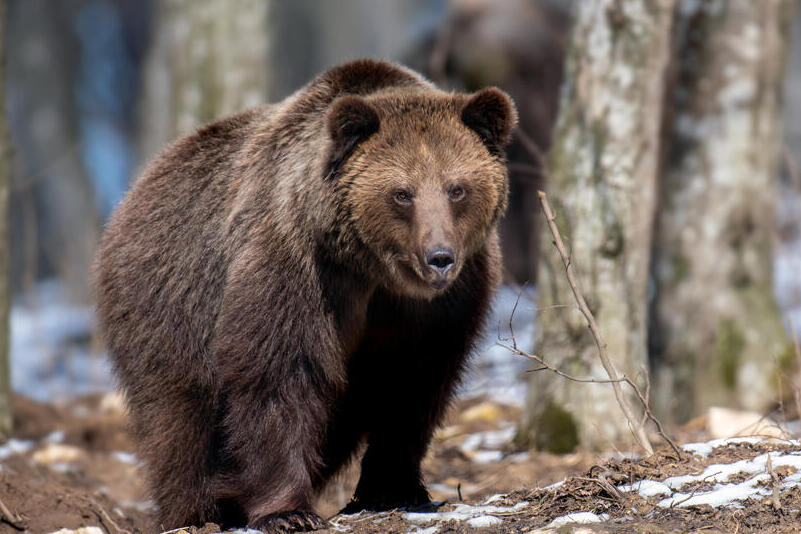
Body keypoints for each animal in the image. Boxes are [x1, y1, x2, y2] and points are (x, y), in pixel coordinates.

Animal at [94, 58, 516, 532]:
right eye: (402, 193)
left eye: (456, 188)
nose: (439, 257)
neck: (373, 271)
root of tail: (132, 193)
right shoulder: (298, 266)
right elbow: (279, 372)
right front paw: (288, 511)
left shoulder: (443, 304)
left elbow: (414, 384)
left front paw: (396, 488)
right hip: (170, 303)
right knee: (180, 419)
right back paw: (196, 510)